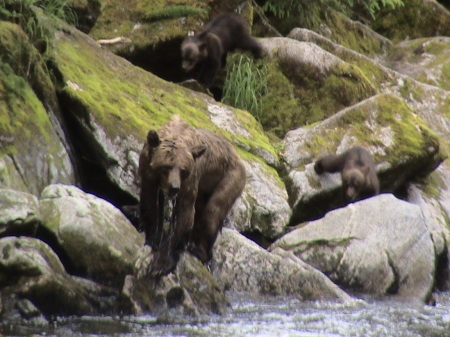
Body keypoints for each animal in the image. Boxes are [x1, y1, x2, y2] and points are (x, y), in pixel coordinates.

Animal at [140, 114, 246, 274]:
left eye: (183, 170)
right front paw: (152, 239)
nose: (174, 187)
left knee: (212, 212)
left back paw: (198, 250)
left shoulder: (190, 180)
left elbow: (184, 214)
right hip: (206, 186)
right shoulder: (147, 170)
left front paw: (160, 264)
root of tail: (237, 155)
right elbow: (150, 204)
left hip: (229, 177)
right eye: (166, 166)